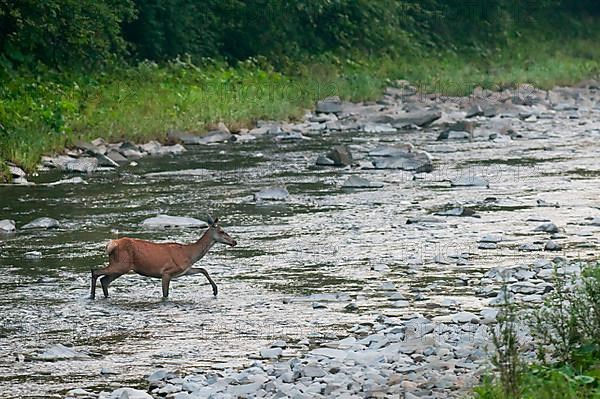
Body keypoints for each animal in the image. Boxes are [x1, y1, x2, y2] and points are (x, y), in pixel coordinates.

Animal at [90, 217, 236, 298]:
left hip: (121, 267)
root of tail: (110, 245)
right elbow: (165, 294)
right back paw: (92, 296)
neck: (189, 254)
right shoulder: (167, 272)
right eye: (222, 231)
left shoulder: (184, 270)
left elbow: (202, 269)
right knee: (95, 271)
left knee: (104, 280)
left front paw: (215, 290)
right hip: (121, 264)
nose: (234, 242)